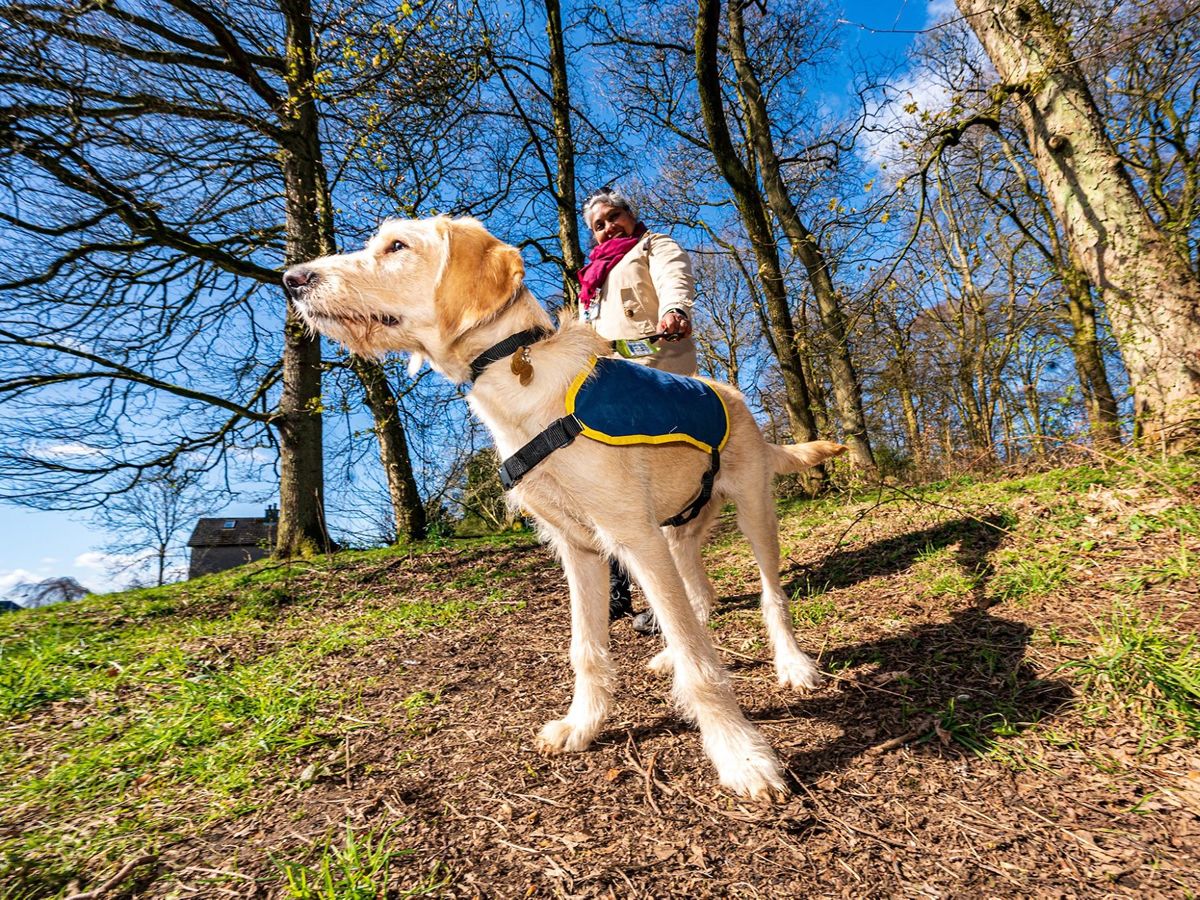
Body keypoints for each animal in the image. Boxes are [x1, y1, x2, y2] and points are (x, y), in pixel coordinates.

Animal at [283, 218, 844, 801]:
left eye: (397, 246)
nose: (291, 279)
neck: (516, 379)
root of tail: (731, 393)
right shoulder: (579, 548)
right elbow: (588, 648)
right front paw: (583, 724)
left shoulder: (633, 537)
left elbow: (701, 664)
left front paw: (741, 755)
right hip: (678, 531)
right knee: (699, 595)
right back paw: (672, 648)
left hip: (752, 512)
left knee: (770, 596)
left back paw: (793, 664)